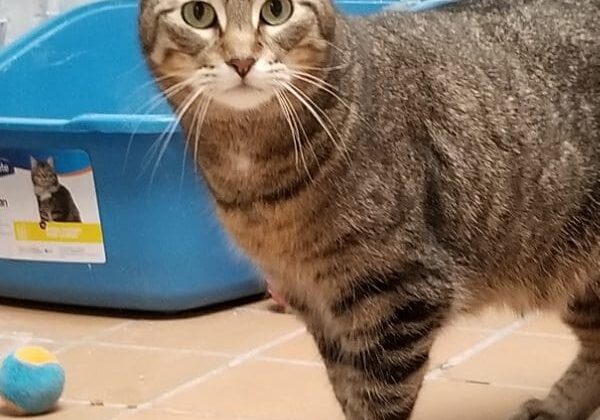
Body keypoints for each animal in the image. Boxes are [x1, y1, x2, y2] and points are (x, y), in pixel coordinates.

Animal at [138, 0, 600, 418]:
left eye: (276, 10)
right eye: (198, 13)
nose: (241, 59)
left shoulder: (399, 294)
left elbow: (378, 396)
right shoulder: (317, 304)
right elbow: (349, 391)